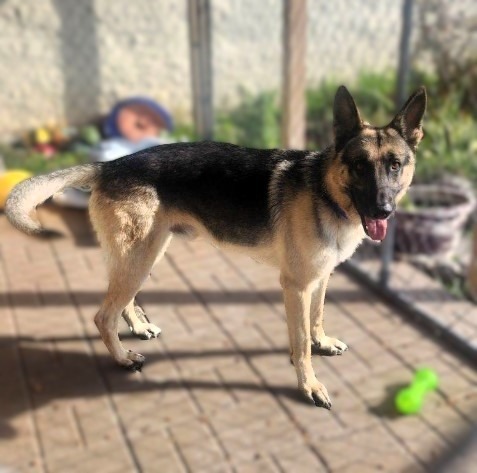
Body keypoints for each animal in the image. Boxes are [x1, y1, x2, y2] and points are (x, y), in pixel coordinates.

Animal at [5, 85, 426, 410]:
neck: (326, 192)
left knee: (121, 303)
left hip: (144, 255)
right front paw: (310, 385)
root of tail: (109, 165)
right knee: (102, 316)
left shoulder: (319, 279)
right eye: (358, 166)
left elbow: (316, 320)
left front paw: (321, 341)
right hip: (139, 259)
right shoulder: (296, 287)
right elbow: (300, 346)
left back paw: (138, 328)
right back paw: (124, 359)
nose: (383, 211)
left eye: (395, 165)